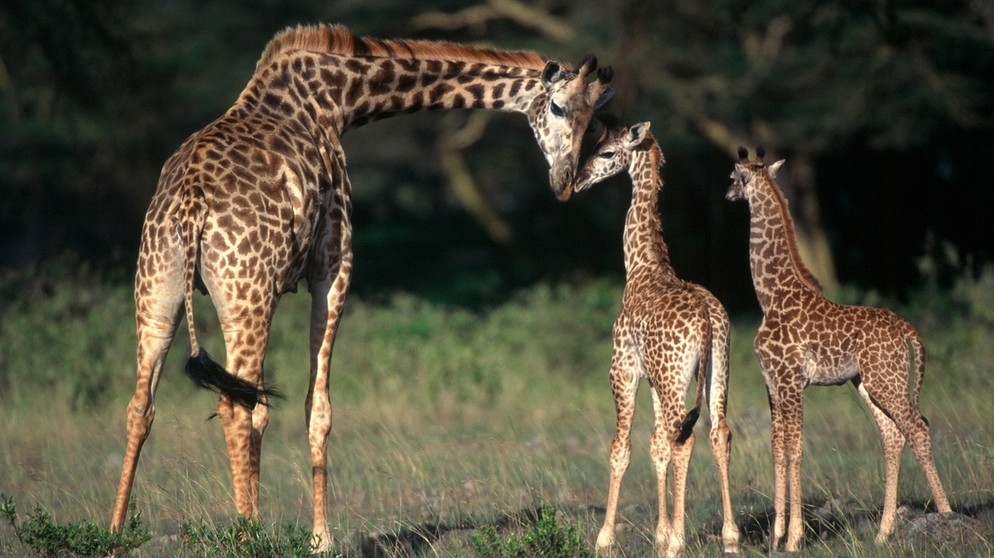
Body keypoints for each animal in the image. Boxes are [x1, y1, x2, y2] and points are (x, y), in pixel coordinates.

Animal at [106, 23, 604, 552]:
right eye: (558, 108)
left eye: (595, 121)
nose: (566, 181)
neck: (339, 99)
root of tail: (190, 202)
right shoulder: (334, 265)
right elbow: (316, 408)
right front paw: (319, 540)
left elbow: (268, 409)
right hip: (244, 290)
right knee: (232, 406)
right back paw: (247, 538)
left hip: (158, 285)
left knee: (142, 405)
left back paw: (115, 533)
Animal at [572, 120, 736, 556]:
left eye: (607, 152)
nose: (577, 181)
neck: (643, 265)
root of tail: (707, 320)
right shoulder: (654, 379)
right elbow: (656, 444)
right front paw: (660, 534)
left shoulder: (624, 370)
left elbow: (622, 447)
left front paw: (606, 538)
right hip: (714, 370)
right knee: (716, 432)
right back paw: (730, 537)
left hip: (673, 377)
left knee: (685, 438)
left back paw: (681, 539)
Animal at [724, 147, 948, 552]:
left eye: (734, 177)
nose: (727, 194)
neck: (769, 297)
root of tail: (907, 330)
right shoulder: (772, 383)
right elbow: (777, 448)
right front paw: (775, 537)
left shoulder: (792, 381)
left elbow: (795, 448)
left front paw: (794, 538)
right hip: (867, 383)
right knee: (892, 435)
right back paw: (883, 533)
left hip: (886, 381)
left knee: (918, 427)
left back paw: (946, 513)